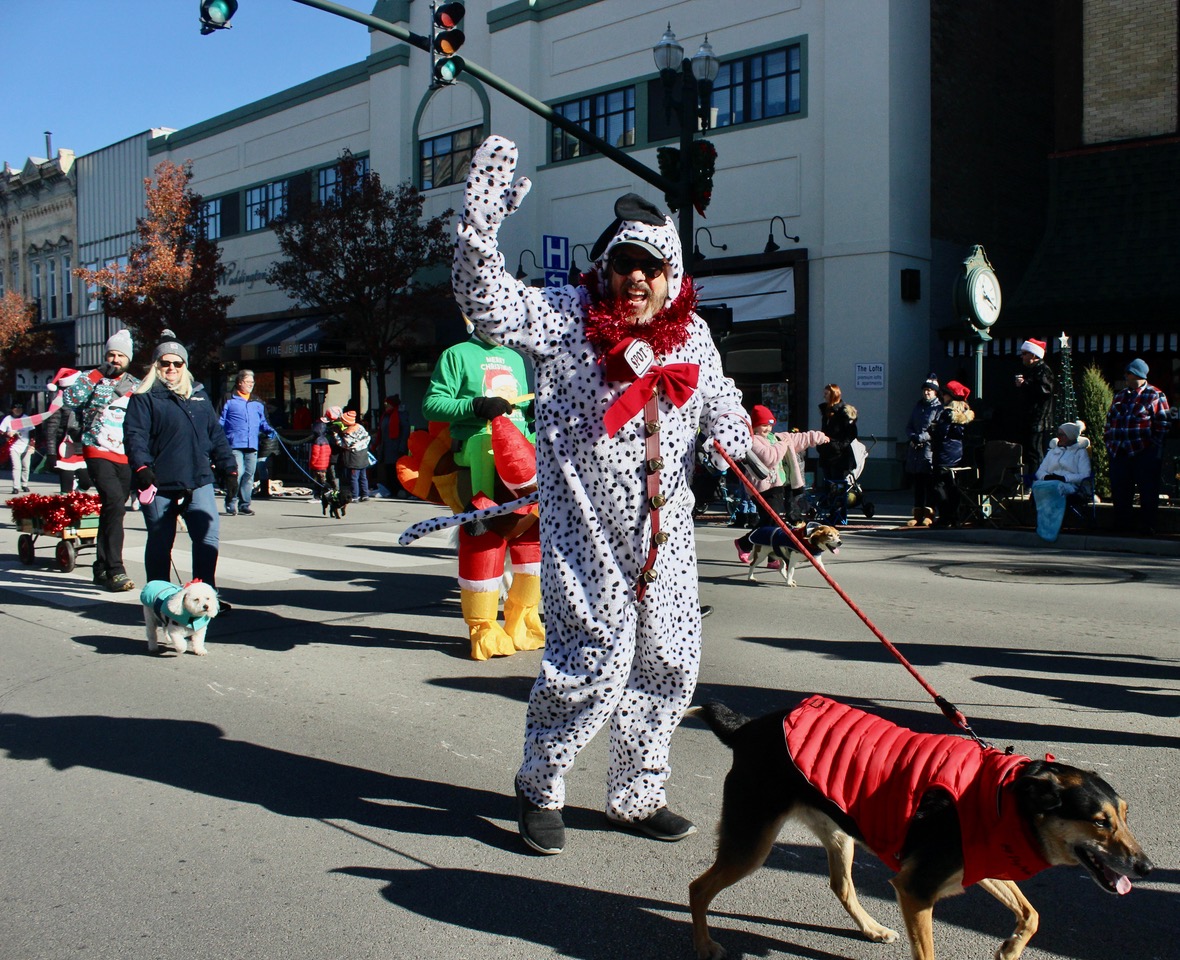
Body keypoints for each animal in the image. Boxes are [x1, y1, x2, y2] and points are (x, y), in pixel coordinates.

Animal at [684, 698, 1151, 960]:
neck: (1005, 798)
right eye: (1099, 822)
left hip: (839, 834)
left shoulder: (976, 866)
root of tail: (747, 726)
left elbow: (1031, 913)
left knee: (842, 887)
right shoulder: (916, 890)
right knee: (698, 889)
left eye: (1125, 815)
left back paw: (871, 928)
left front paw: (1011, 948)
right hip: (751, 843)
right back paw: (704, 945)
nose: (1146, 867)